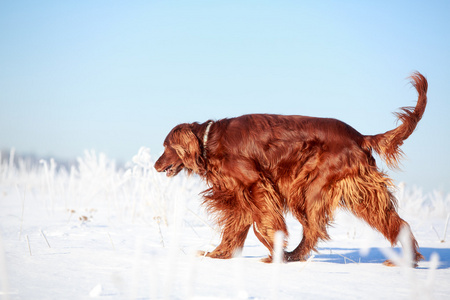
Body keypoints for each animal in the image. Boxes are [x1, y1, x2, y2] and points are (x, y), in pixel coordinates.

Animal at [154, 73, 426, 268]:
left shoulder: (255, 184)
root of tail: (360, 137)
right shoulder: (238, 195)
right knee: (392, 220)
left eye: (166, 146)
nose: (156, 166)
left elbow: (265, 222)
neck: (210, 141)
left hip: (310, 190)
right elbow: (235, 227)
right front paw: (217, 254)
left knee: (313, 230)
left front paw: (271, 245)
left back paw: (289, 255)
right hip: (353, 192)